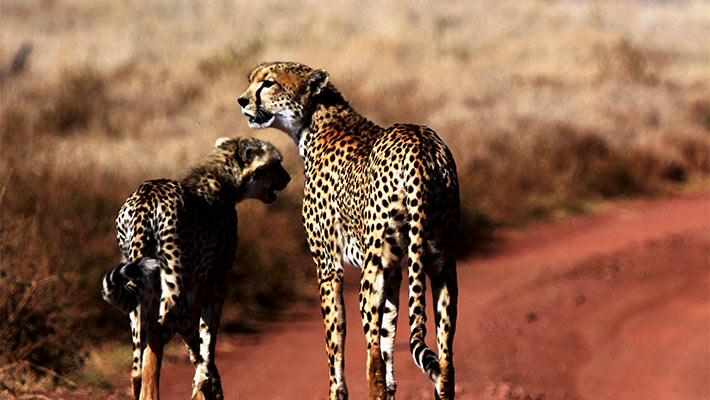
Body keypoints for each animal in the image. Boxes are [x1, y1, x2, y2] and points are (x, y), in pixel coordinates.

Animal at [100, 136, 290, 398]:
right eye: (275, 163)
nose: (287, 177)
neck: (223, 178)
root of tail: (146, 195)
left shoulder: (189, 293)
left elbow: (195, 342)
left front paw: (207, 386)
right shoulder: (215, 282)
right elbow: (207, 336)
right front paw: (205, 383)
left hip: (141, 288)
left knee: (138, 361)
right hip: (172, 283)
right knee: (156, 334)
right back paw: (151, 393)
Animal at [239, 62, 462, 400]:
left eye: (268, 83)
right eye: (251, 80)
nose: (242, 100)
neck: (316, 120)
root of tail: (418, 143)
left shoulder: (328, 266)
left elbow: (336, 342)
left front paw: (336, 392)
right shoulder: (395, 270)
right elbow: (389, 337)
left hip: (372, 271)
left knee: (373, 366)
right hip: (441, 265)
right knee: (445, 366)